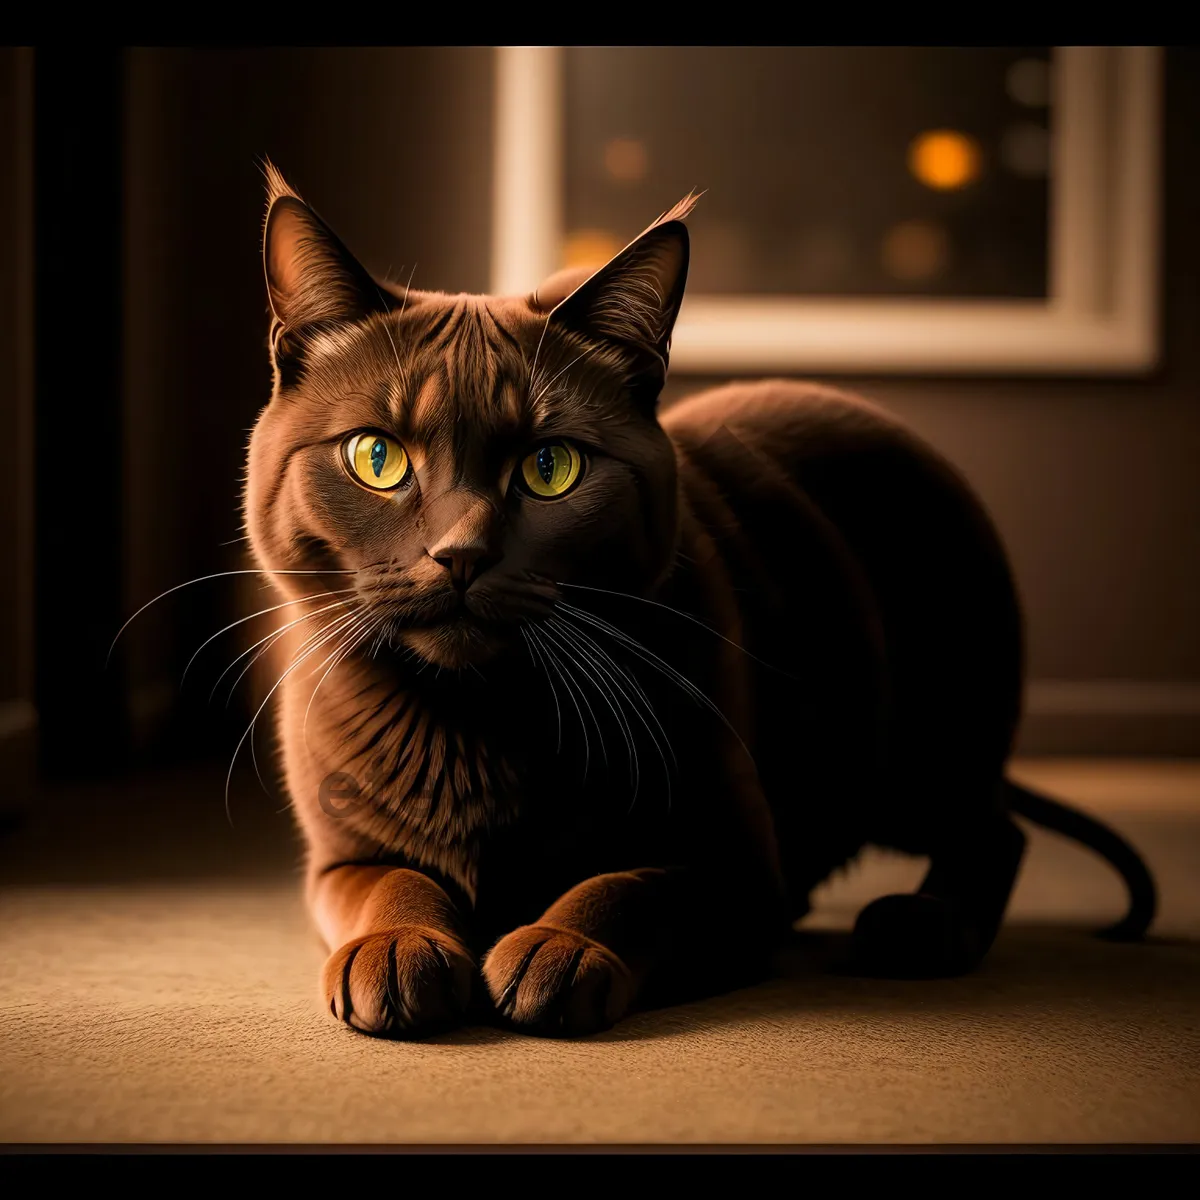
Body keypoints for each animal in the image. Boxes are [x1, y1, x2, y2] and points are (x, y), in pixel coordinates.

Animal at [243, 164, 1152, 1036]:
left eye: (550, 468)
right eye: (377, 457)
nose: (461, 553)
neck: (474, 722)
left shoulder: (743, 873)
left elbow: (628, 887)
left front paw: (556, 949)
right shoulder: (338, 862)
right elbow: (390, 885)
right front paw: (398, 948)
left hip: (920, 745)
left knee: (994, 827)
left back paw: (921, 924)